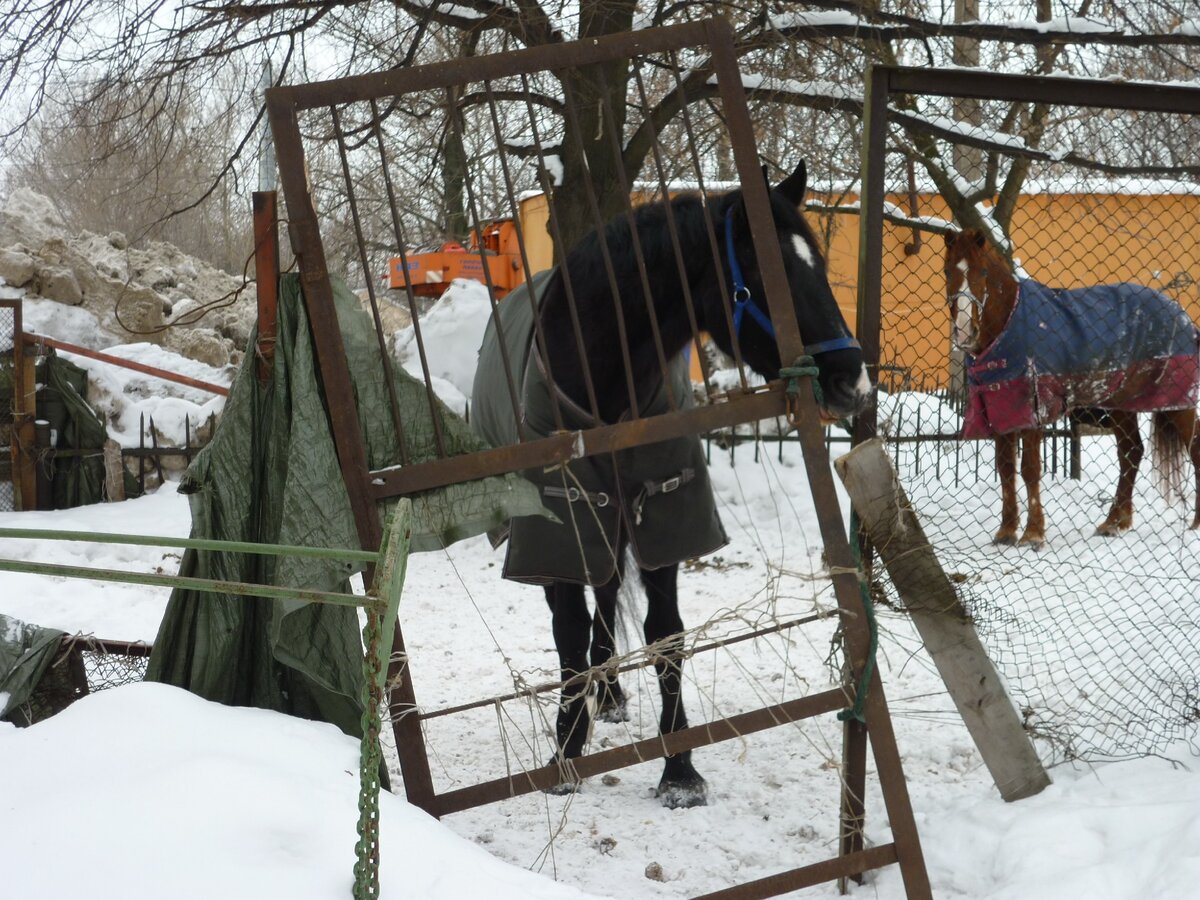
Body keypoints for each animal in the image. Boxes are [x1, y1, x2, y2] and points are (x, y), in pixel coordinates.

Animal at [472, 160, 868, 811]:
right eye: (767, 274)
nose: (853, 381)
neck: (603, 383)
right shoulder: (560, 530)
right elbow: (567, 635)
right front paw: (566, 752)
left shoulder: (662, 513)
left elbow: (666, 635)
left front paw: (679, 767)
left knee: (609, 599)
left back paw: (609, 694)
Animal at [945, 229, 1200, 547]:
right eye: (947, 271)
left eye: (982, 272)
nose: (964, 332)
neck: (1008, 326)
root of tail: (1183, 316)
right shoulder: (1001, 410)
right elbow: (1005, 468)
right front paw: (1006, 531)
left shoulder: (1033, 412)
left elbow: (1030, 469)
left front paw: (1033, 534)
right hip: (1121, 405)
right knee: (1130, 452)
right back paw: (1114, 523)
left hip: (1178, 404)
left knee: (1193, 450)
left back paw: (1193, 524)